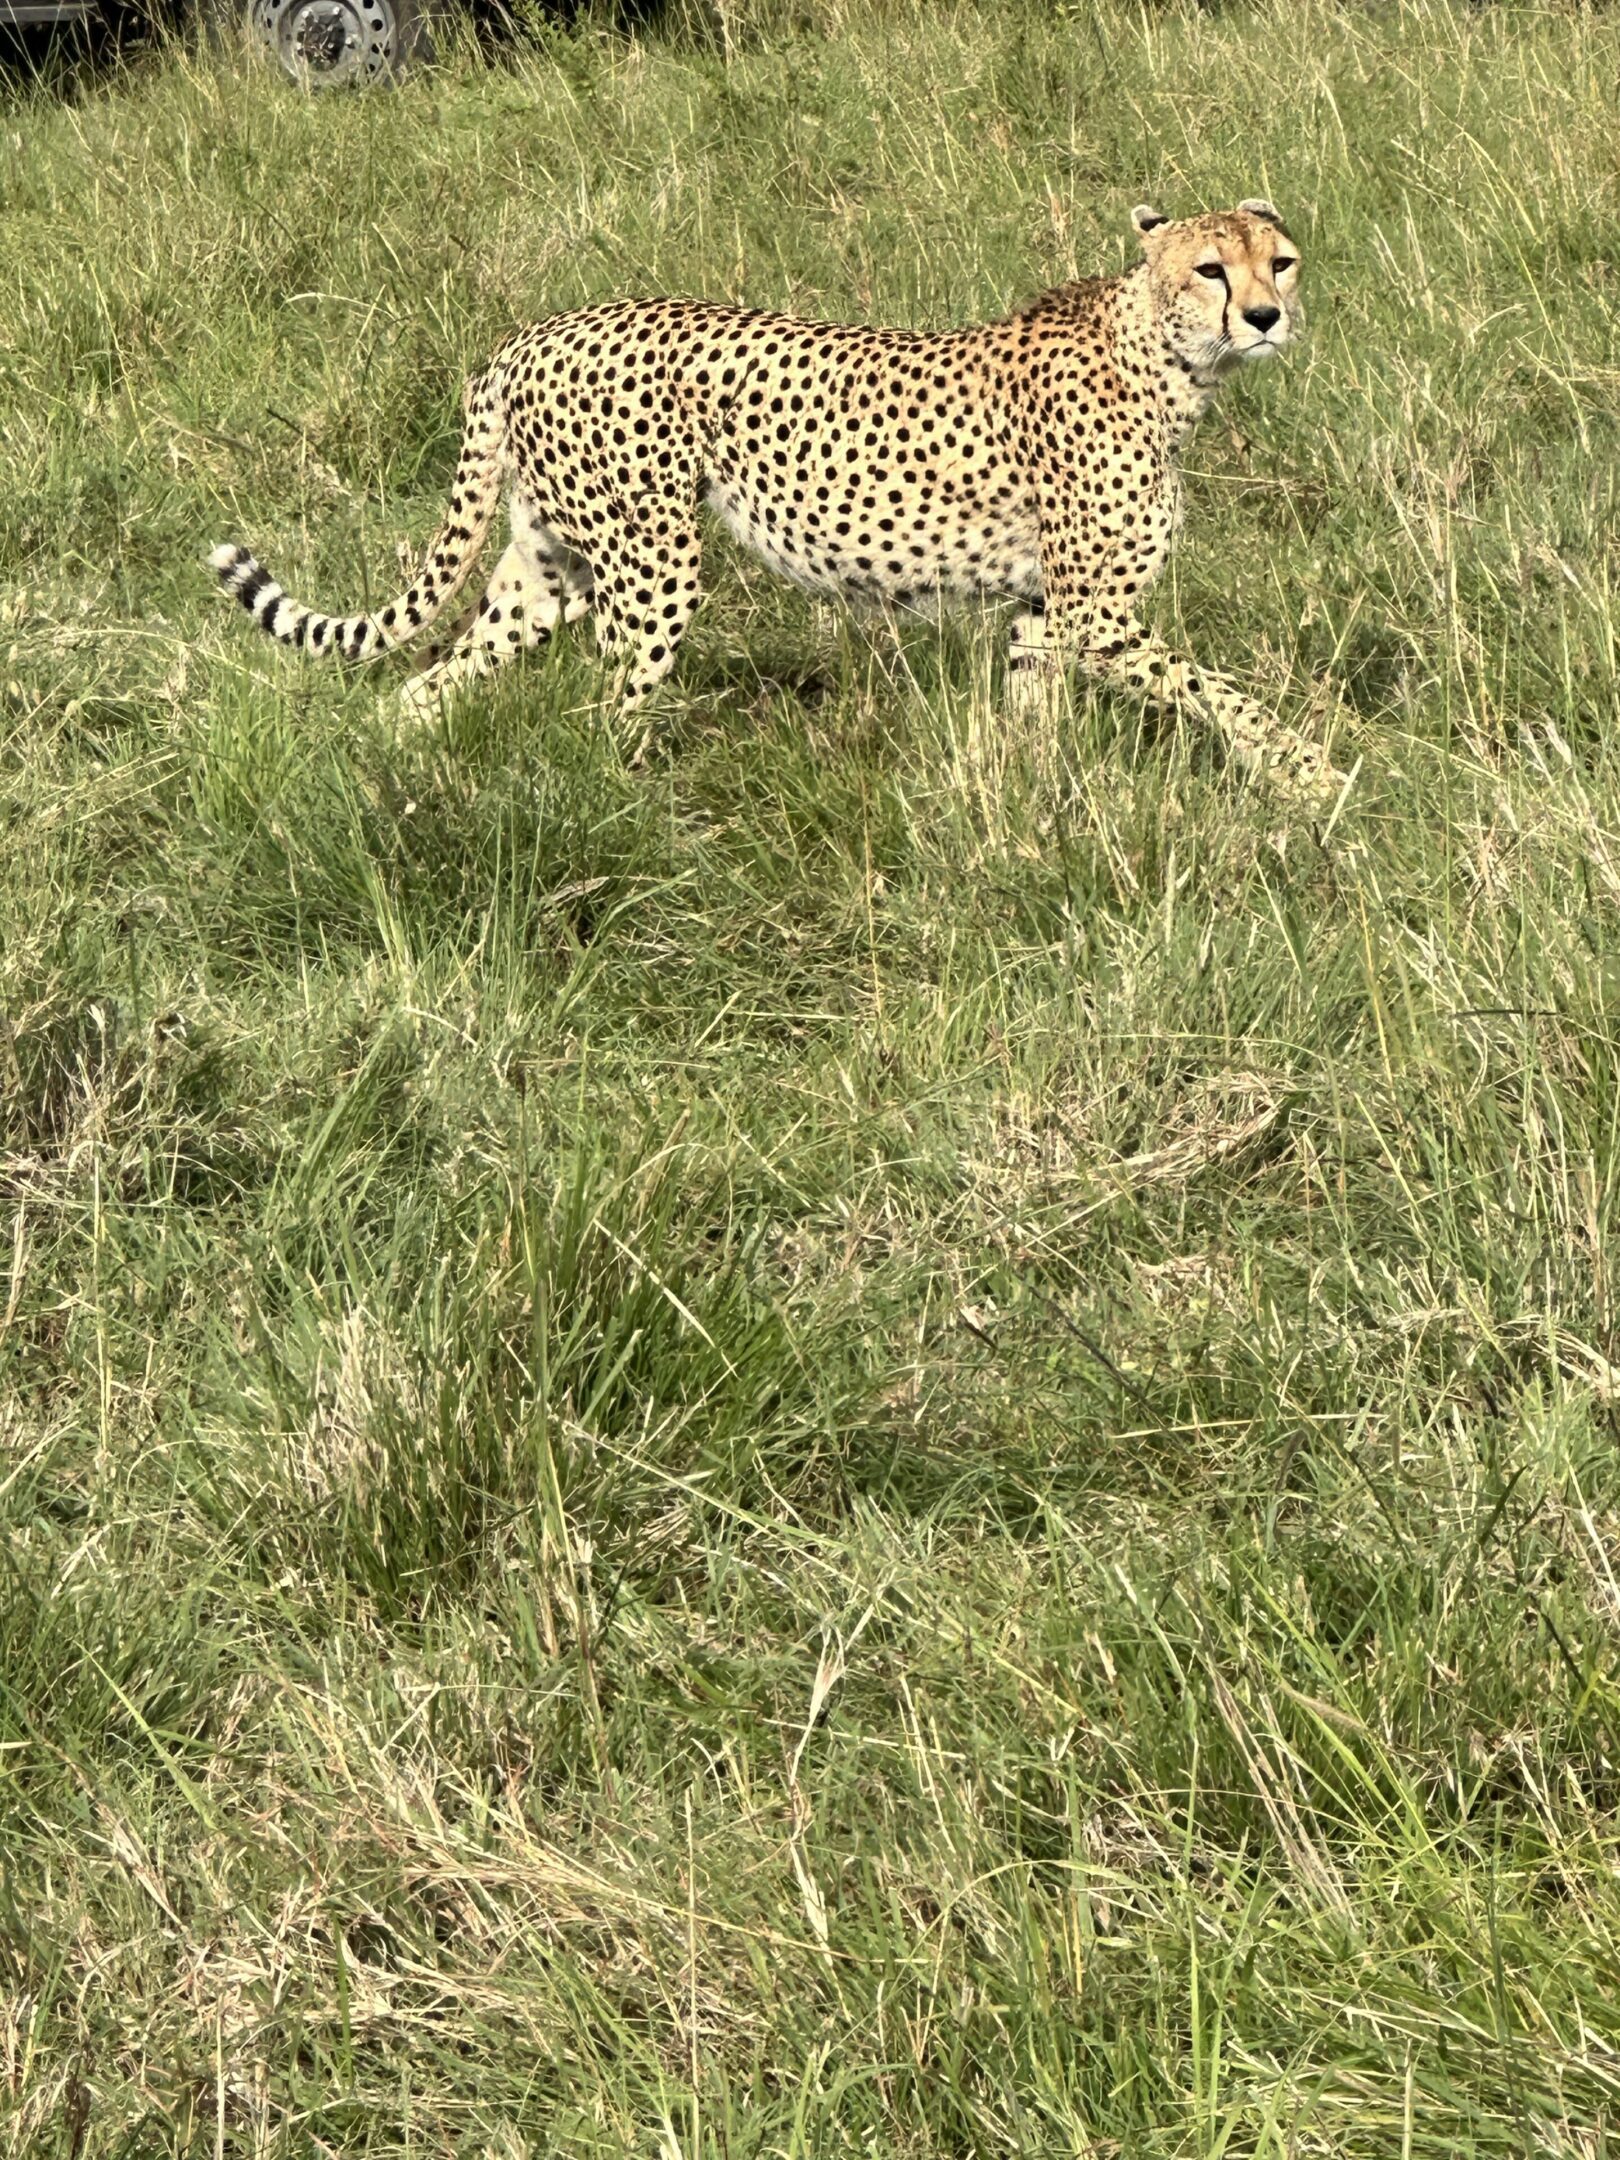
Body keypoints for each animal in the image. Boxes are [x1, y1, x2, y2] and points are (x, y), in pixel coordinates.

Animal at [211, 198, 1342, 802]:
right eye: (1211, 269)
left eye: (1280, 261)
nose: (1268, 316)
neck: (1167, 360)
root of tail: (529, 334)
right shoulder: (1099, 614)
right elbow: (1221, 691)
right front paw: (1315, 777)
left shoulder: (1043, 614)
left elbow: (1032, 718)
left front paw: (1020, 804)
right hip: (653, 568)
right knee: (605, 712)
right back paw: (637, 821)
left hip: (550, 568)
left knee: (430, 682)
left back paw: (389, 766)